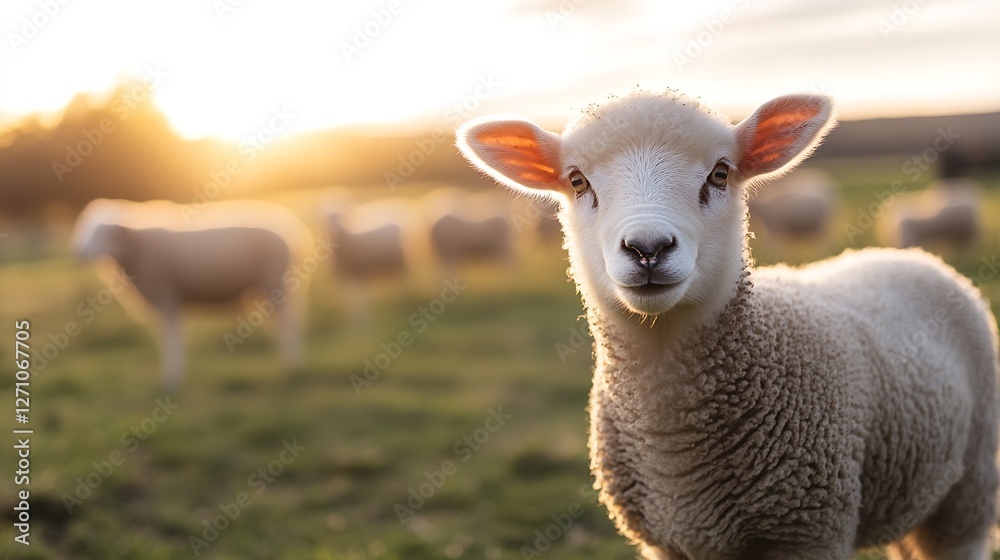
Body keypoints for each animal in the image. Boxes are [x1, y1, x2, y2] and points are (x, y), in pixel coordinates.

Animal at [70, 198, 315, 388]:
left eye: (104, 233)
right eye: (84, 227)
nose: (78, 253)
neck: (138, 249)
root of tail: (290, 231)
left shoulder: (167, 298)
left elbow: (172, 341)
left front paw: (171, 380)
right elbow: (168, 340)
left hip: (275, 284)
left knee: (290, 325)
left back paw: (292, 366)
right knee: (283, 324)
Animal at [457, 90, 999, 560]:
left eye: (720, 174)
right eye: (576, 181)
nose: (648, 248)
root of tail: (912, 257)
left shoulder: (810, 531)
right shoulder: (667, 542)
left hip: (970, 486)